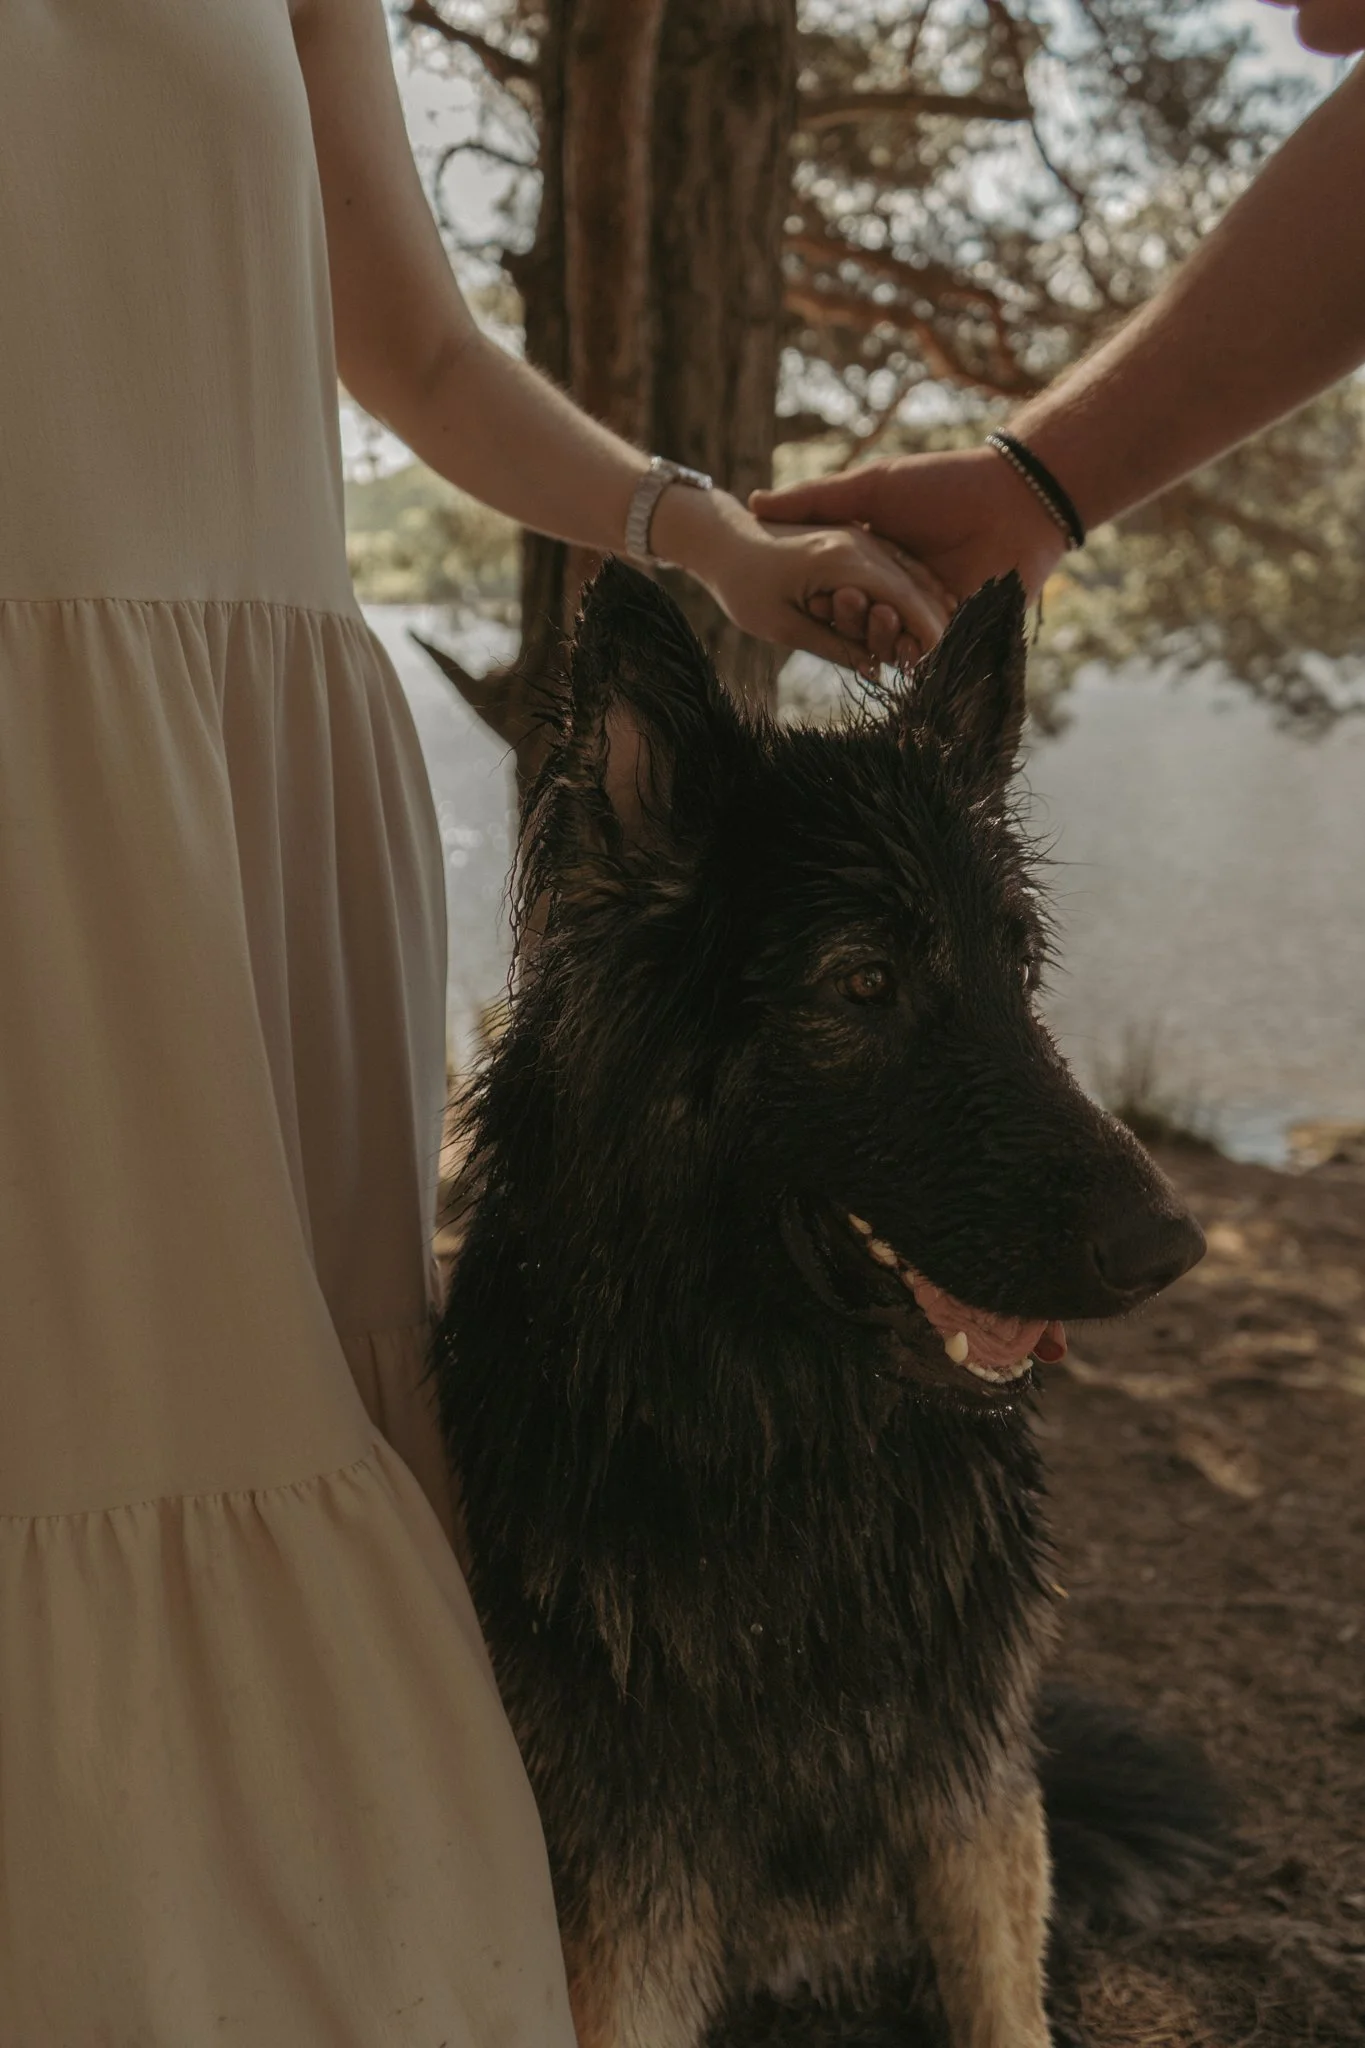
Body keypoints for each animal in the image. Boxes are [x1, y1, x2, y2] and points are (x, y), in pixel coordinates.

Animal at [433, 564, 1224, 2048]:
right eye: (863, 984)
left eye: (1018, 964)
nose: (1173, 1247)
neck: (795, 1447)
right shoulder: (626, 1871)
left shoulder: (969, 1782)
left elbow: (1004, 2001)